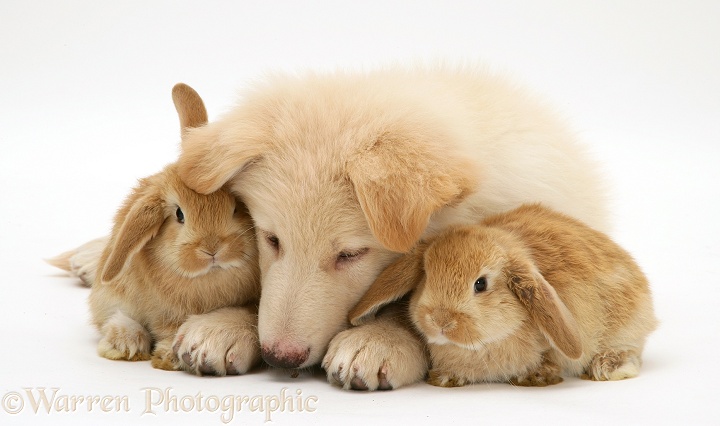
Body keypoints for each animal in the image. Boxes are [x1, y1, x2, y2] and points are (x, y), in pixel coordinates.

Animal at [48, 84, 262, 376]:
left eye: (236, 208)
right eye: (179, 214)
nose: (212, 249)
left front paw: (187, 350)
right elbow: (117, 316)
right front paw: (126, 344)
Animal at [348, 205, 660, 388]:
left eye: (481, 284)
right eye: (426, 274)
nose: (440, 321)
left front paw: (537, 376)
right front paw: (446, 378)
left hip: (627, 324)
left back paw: (606, 367)